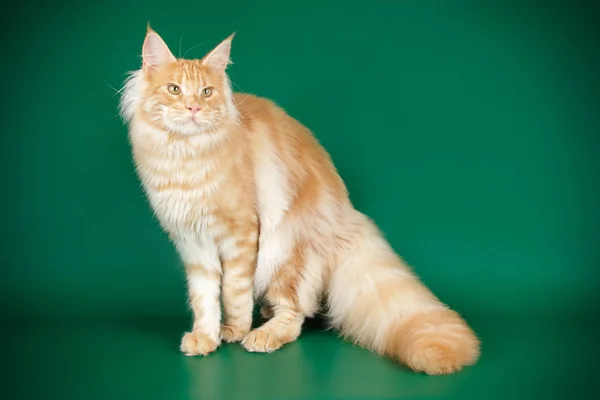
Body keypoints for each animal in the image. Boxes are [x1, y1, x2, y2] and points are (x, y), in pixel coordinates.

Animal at [119, 25, 480, 376]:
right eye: (174, 90)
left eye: (206, 92)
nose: (193, 108)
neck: (183, 157)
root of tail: (345, 217)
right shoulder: (192, 242)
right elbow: (204, 297)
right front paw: (205, 336)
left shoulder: (241, 234)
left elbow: (234, 292)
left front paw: (235, 330)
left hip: (284, 250)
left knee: (296, 314)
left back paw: (263, 333)